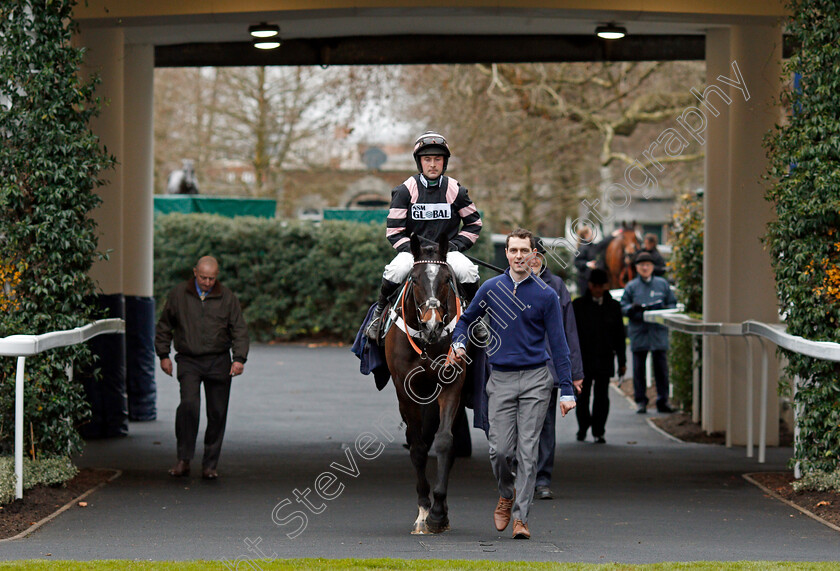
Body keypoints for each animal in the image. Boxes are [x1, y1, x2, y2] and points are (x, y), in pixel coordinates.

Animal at [384, 232, 470, 536]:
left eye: (446, 279)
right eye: (415, 278)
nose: (432, 325)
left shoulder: (453, 383)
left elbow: (444, 441)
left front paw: (438, 512)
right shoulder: (405, 391)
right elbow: (419, 447)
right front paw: (424, 511)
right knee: (416, 439)